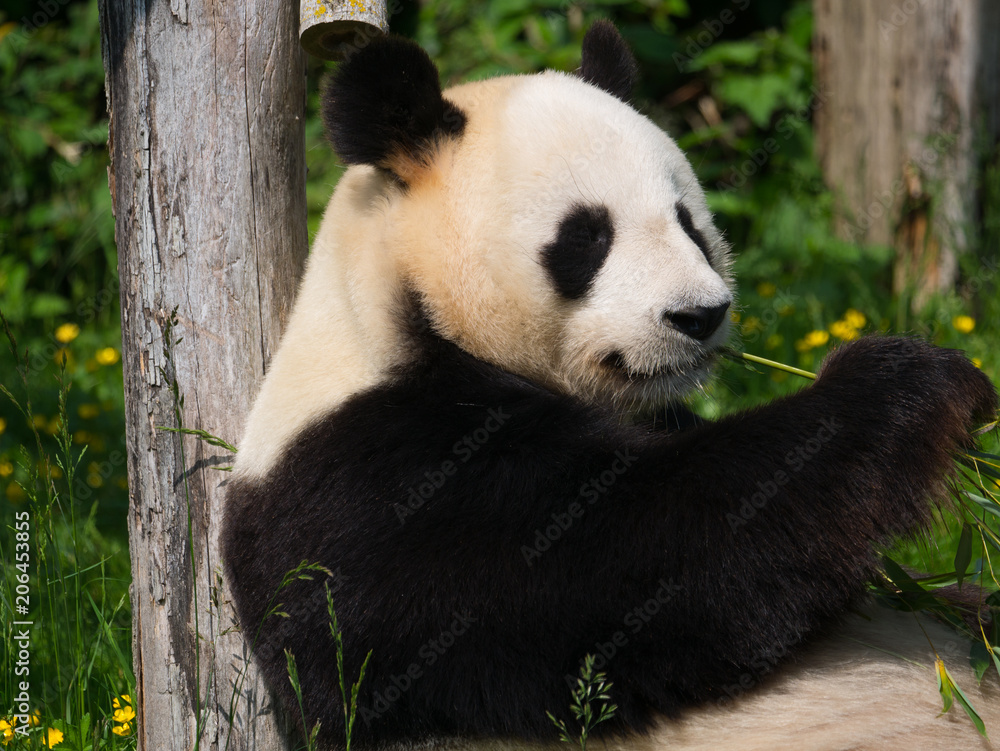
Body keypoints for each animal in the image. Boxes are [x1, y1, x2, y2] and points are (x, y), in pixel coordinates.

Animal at [223, 21, 1000, 751]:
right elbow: (646, 560)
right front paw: (908, 384)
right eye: (587, 236)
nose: (699, 315)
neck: (401, 316)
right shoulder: (379, 489)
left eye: (689, 222)